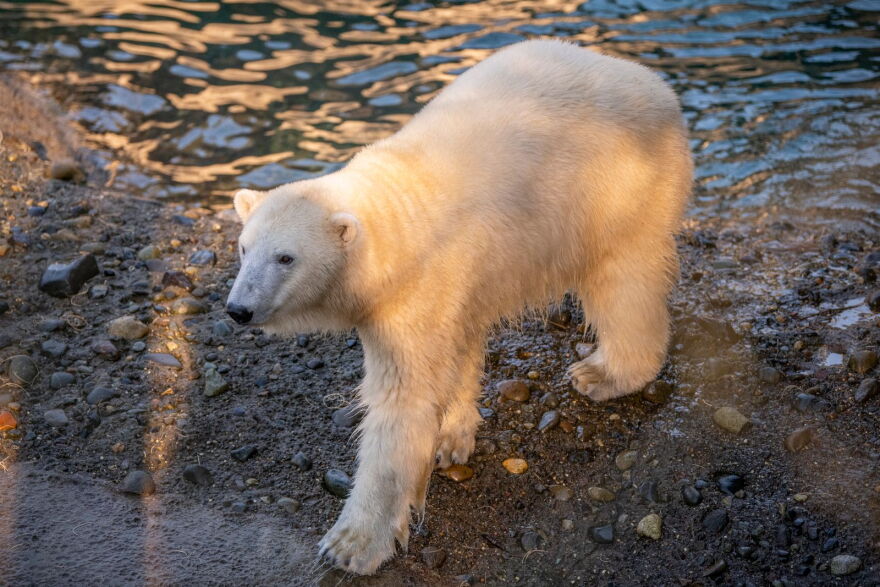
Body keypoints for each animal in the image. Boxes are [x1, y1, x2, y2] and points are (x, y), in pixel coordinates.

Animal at [226, 39, 692, 575]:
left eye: (285, 257)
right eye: (243, 247)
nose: (238, 308)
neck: (399, 225)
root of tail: (656, 86)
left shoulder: (416, 291)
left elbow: (400, 402)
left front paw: (351, 544)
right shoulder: (455, 284)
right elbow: (458, 351)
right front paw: (451, 437)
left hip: (615, 190)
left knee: (623, 281)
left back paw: (605, 373)